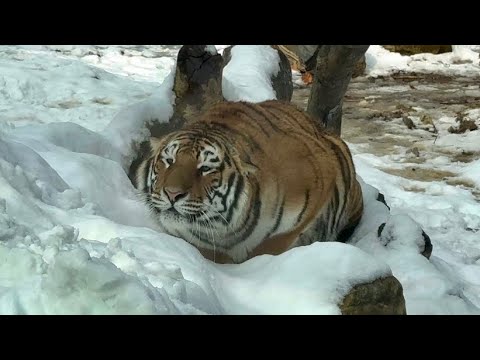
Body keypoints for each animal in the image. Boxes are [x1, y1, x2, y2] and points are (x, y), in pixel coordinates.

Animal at [132, 100, 364, 262]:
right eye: (169, 161)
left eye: (205, 168)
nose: (172, 194)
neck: (226, 231)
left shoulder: (317, 184)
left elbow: (271, 246)